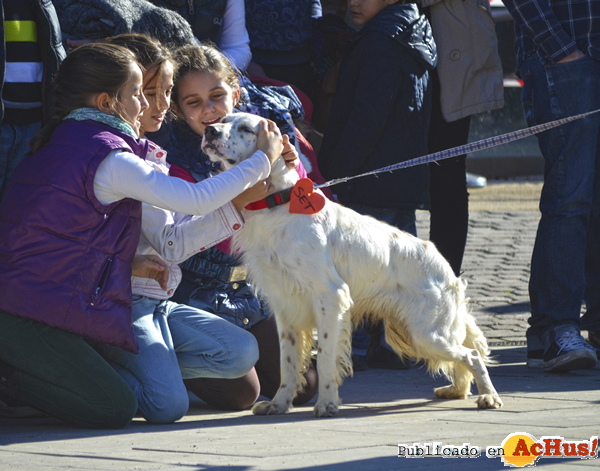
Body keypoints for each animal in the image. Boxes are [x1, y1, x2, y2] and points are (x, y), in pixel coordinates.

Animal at [202, 113, 502, 416]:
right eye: (223, 119)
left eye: (246, 128)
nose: (209, 130)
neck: (277, 204)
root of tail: (447, 269)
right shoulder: (286, 305)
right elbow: (288, 364)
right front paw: (279, 403)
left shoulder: (330, 297)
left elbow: (325, 357)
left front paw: (326, 403)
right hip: (418, 333)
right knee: (464, 357)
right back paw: (457, 390)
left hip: (426, 333)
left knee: (472, 355)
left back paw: (488, 397)